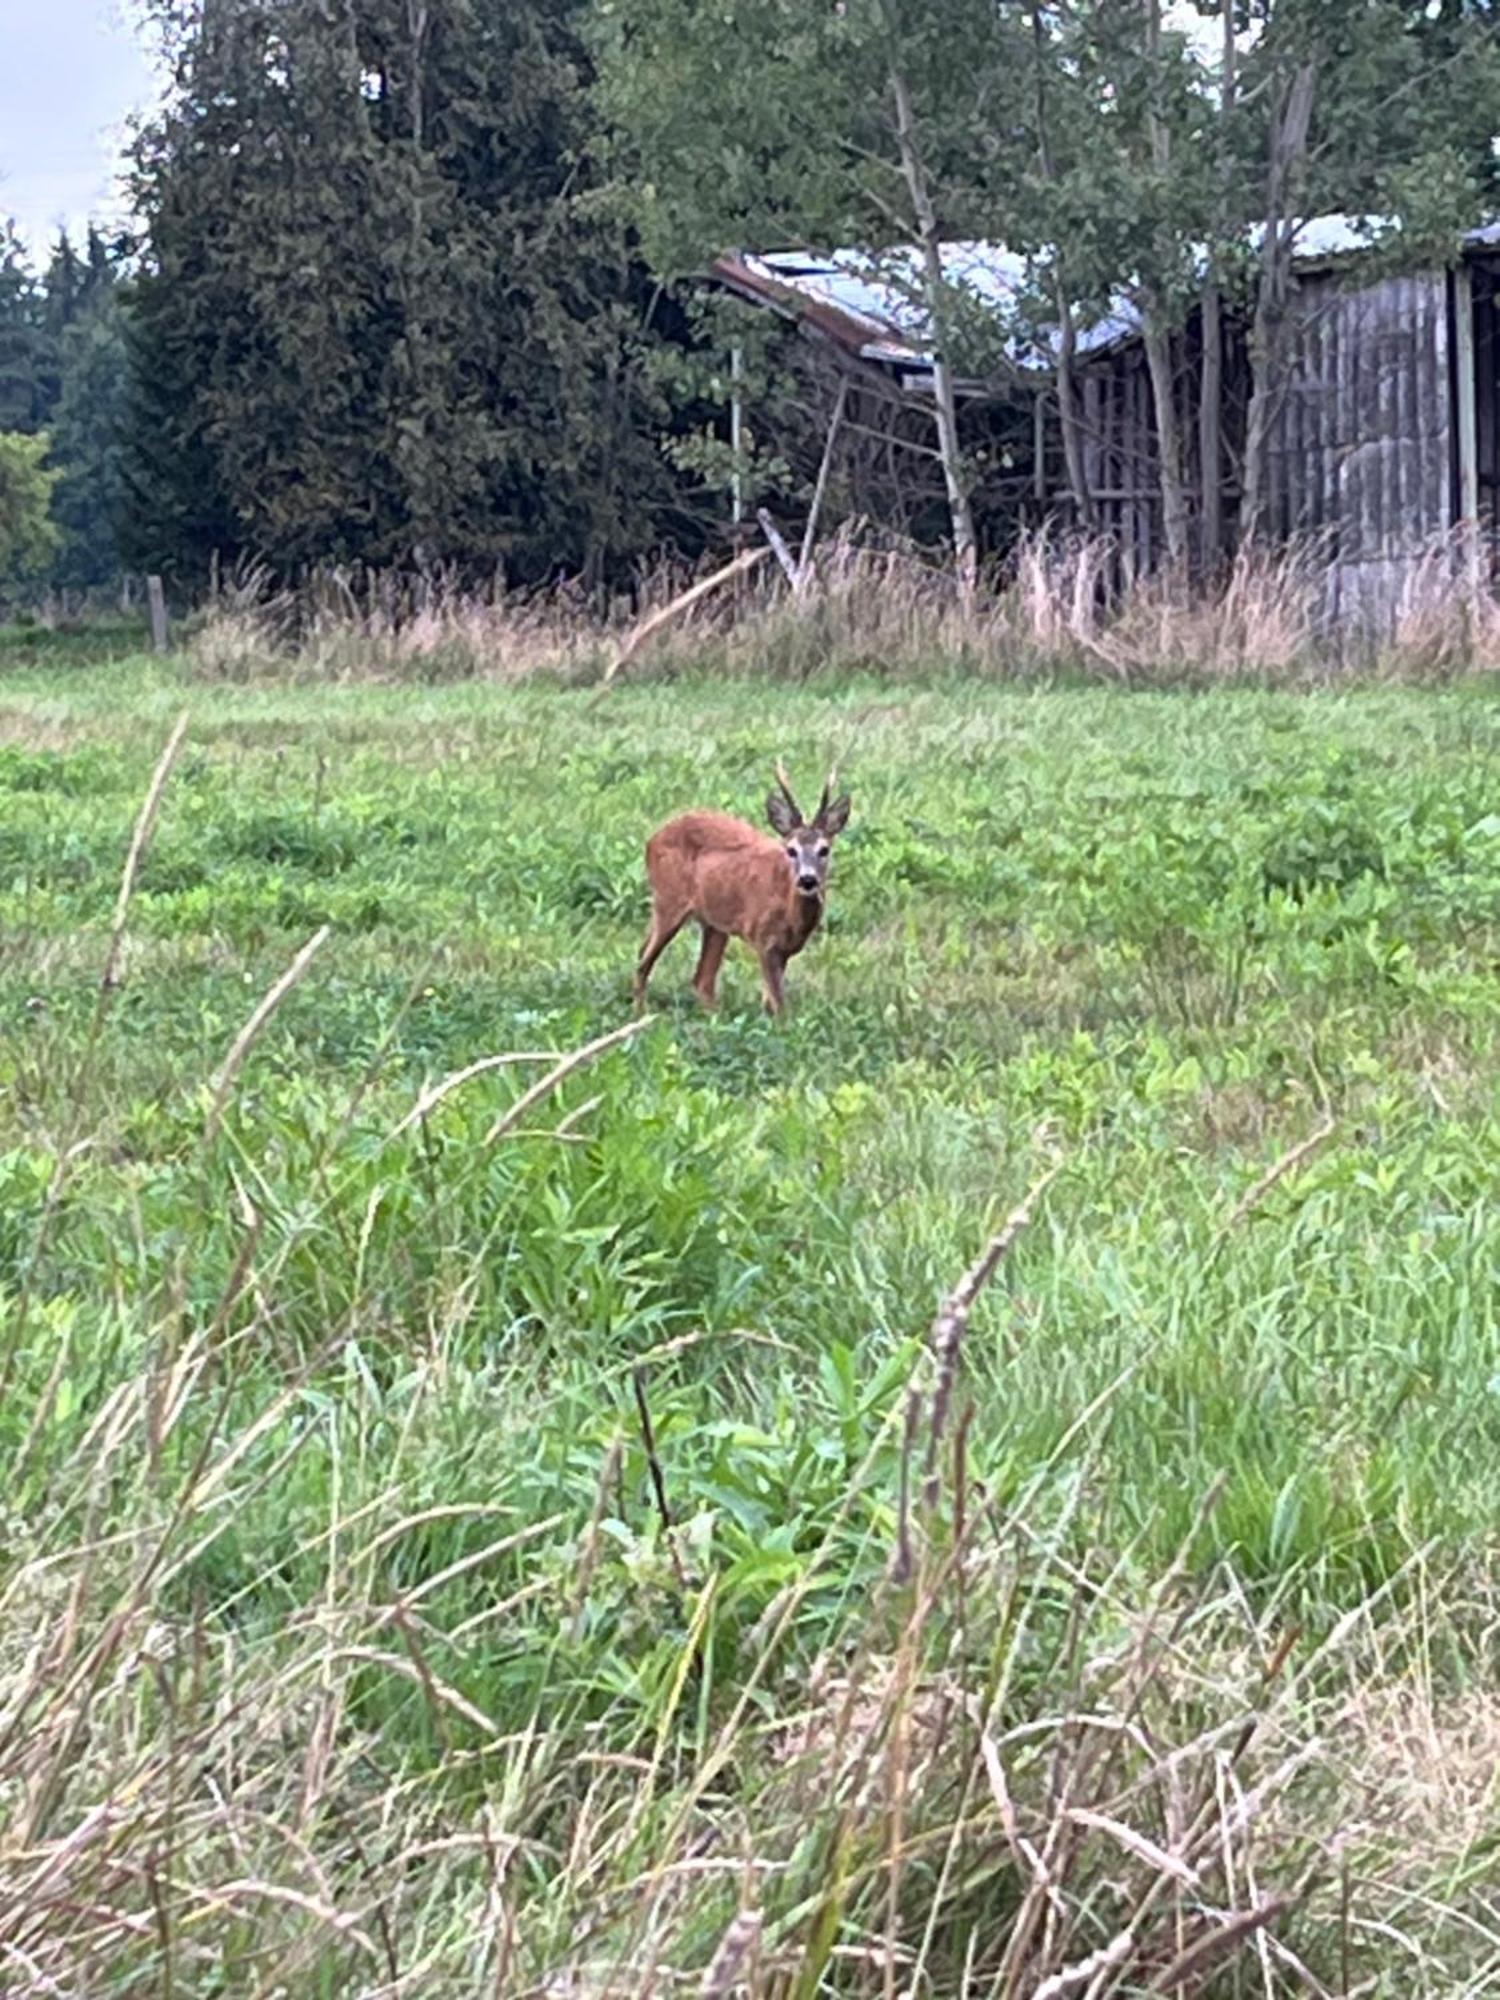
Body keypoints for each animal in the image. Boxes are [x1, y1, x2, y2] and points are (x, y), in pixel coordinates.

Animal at [632, 760, 852, 1016]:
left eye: (824, 849)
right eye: (791, 850)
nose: (807, 880)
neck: (791, 915)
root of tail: (652, 840)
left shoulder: (784, 950)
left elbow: (769, 1002)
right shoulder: (762, 938)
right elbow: (780, 1007)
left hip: (714, 922)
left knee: (700, 979)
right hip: (669, 900)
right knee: (644, 961)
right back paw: (640, 1013)